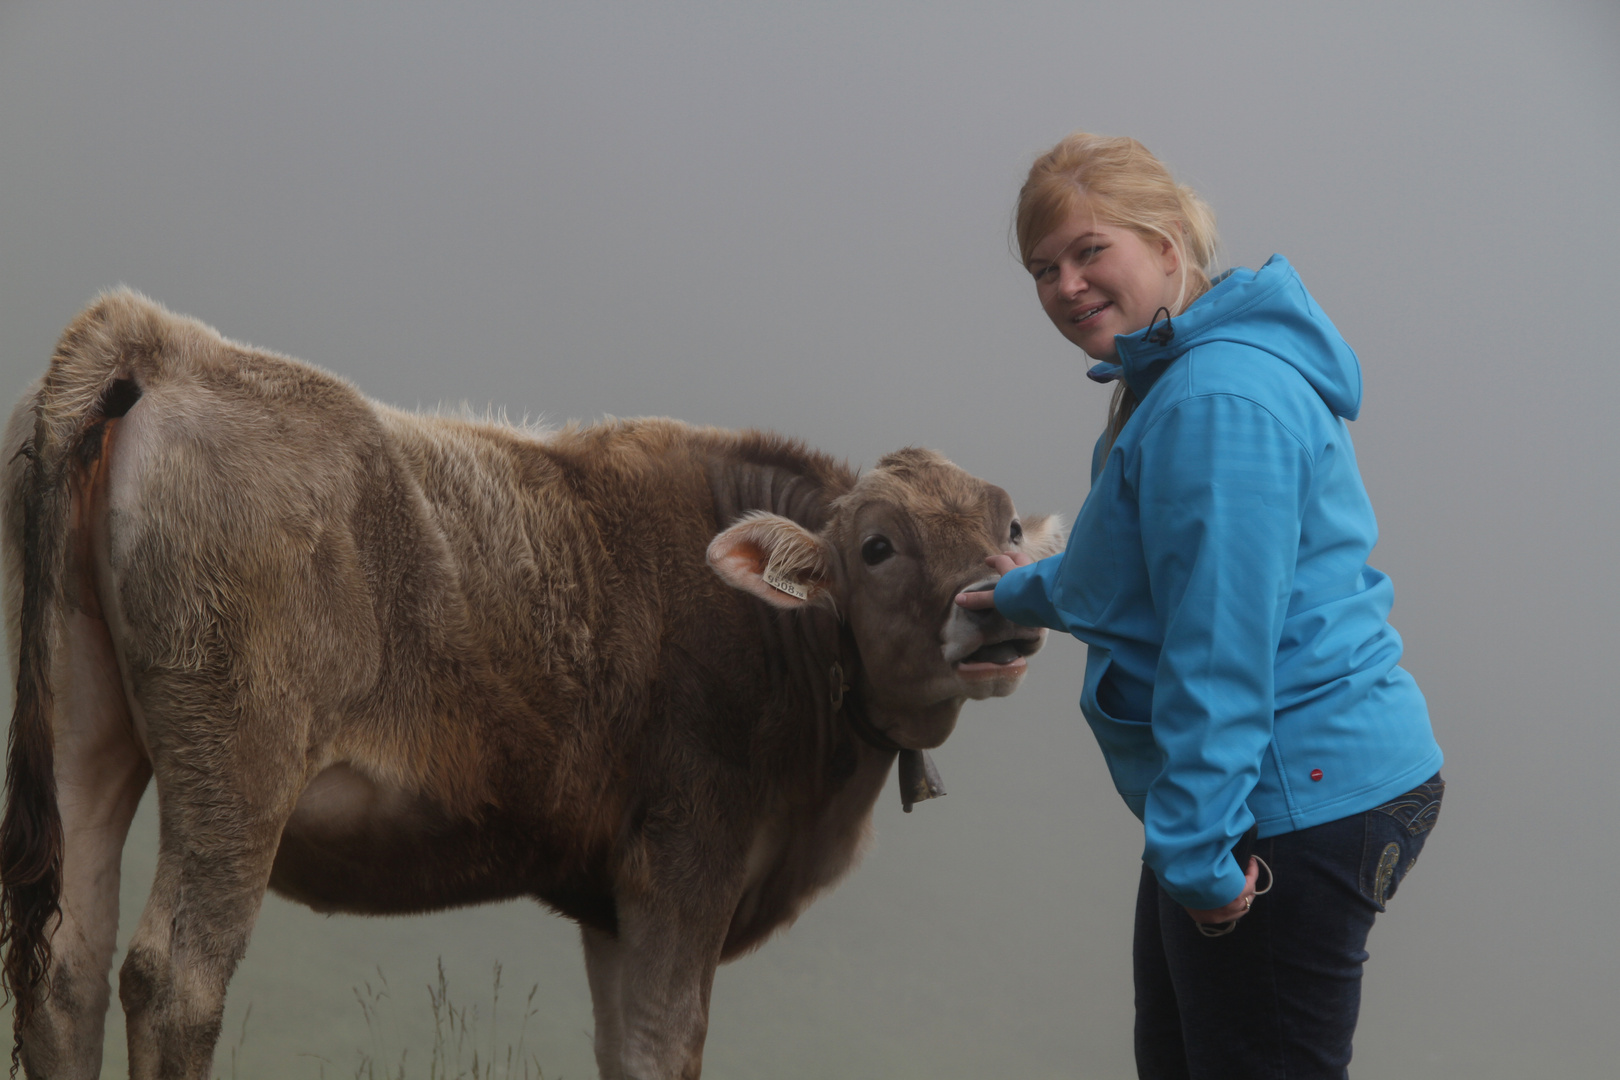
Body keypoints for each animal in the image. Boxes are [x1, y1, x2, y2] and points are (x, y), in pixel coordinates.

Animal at [0, 289, 1069, 1080]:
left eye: (1010, 525)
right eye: (879, 546)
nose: (999, 607)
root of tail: (167, 338)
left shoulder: (610, 902)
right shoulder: (684, 870)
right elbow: (660, 1049)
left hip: (87, 730)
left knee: (65, 967)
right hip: (241, 762)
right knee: (175, 980)